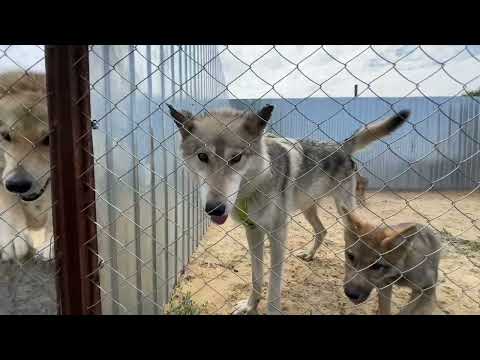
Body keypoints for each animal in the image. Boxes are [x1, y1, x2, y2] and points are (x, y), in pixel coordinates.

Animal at [168, 102, 408, 314]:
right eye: (202, 156)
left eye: (235, 158)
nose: (214, 209)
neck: (254, 187)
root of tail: (340, 146)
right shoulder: (253, 231)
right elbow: (256, 277)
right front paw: (250, 306)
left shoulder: (277, 235)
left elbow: (274, 287)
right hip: (307, 208)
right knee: (322, 231)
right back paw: (310, 255)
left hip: (345, 211)